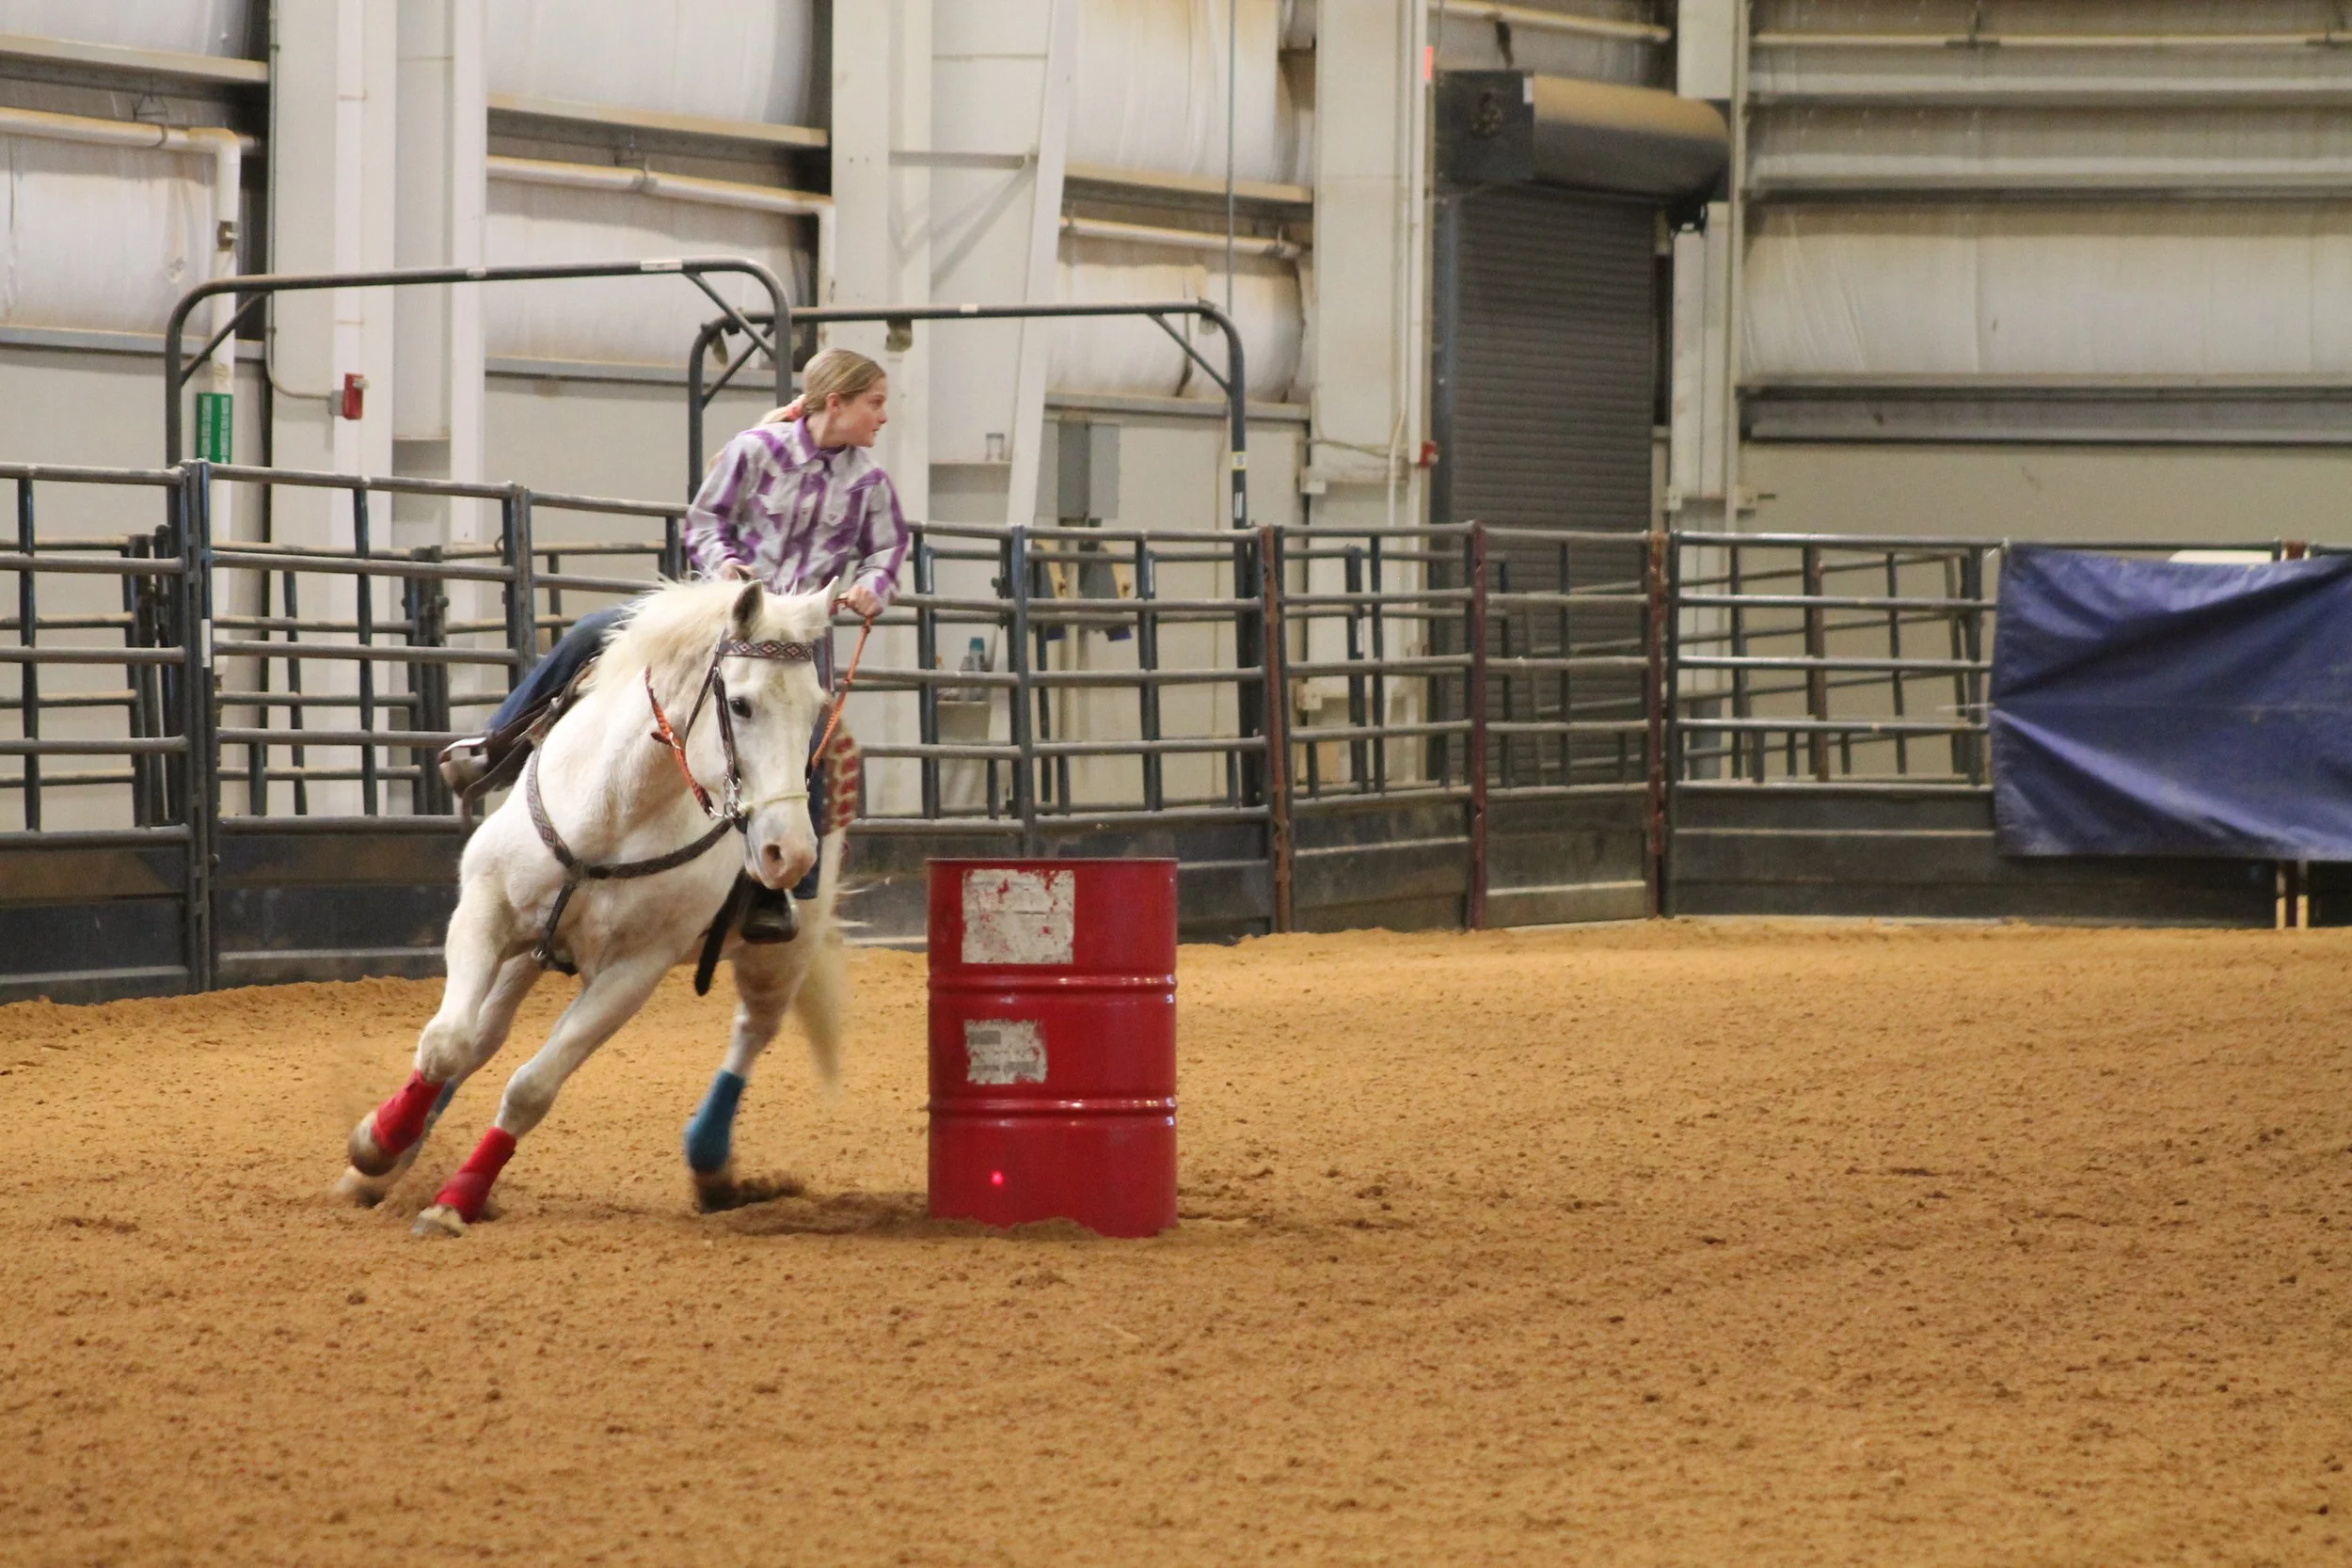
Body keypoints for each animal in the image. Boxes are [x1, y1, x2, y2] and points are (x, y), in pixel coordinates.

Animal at [336, 575, 849, 1236]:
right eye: (740, 704)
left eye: (815, 708)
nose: (790, 853)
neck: (618, 807)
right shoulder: (485, 907)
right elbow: (448, 1042)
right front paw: (377, 1143)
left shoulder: (632, 973)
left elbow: (531, 1088)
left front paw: (456, 1200)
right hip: (528, 948)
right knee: (482, 1036)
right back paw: (384, 1164)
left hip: (782, 955)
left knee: (752, 1030)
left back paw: (711, 1163)